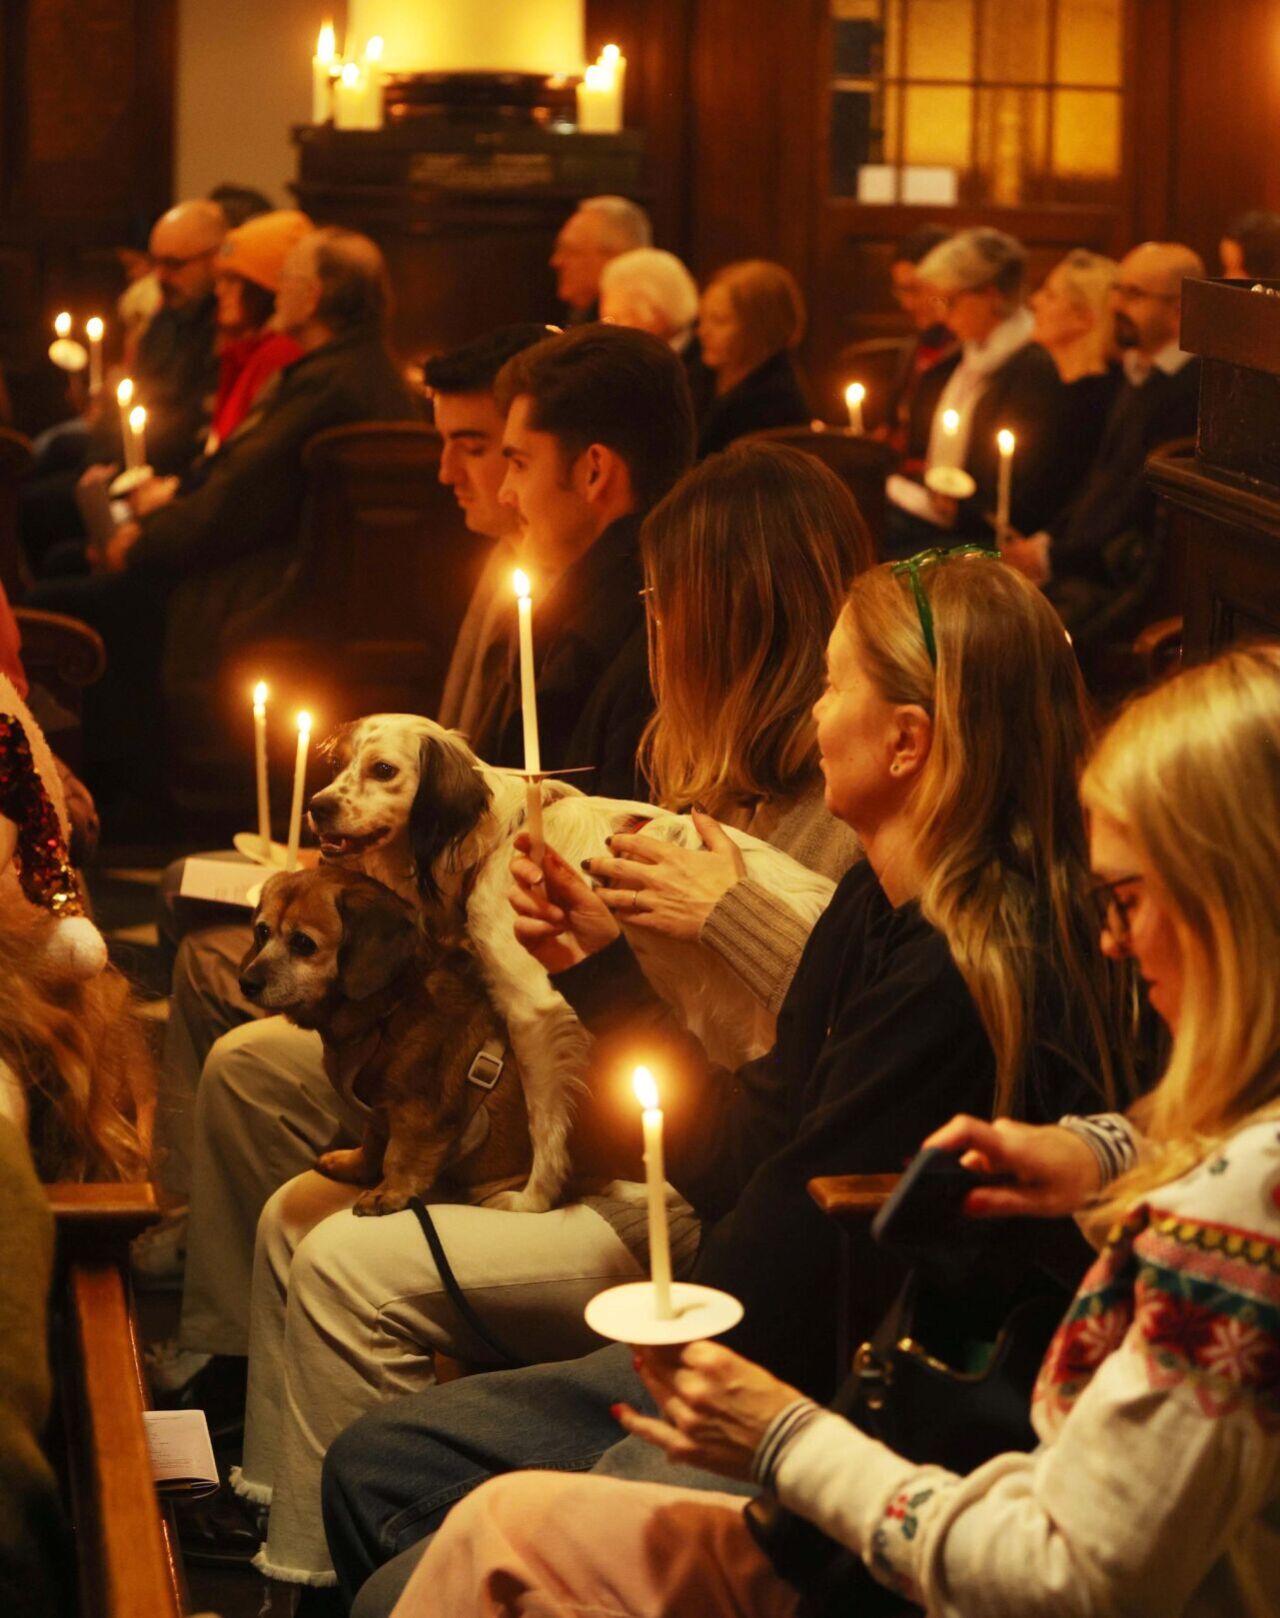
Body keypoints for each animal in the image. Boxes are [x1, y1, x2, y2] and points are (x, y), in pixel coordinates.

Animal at [237, 860, 527, 1216]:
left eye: (303, 943)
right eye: (262, 931)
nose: (245, 983)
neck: (390, 1012)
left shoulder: (417, 1113)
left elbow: (400, 1157)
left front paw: (388, 1192)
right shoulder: (377, 1110)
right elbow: (374, 1141)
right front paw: (355, 1166)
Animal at [304, 715, 834, 1210]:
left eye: (383, 770)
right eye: (336, 765)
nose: (317, 806)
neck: (500, 841)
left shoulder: (535, 1009)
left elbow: (544, 1125)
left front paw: (533, 1200)